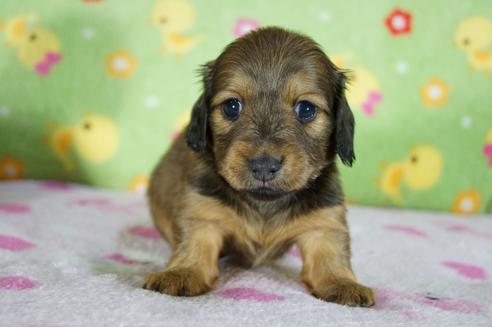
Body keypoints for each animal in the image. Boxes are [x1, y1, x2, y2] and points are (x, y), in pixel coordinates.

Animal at [144, 26, 374, 306]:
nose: (264, 166)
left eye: (306, 109)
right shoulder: (202, 211)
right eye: (232, 106)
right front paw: (181, 272)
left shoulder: (324, 221)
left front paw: (343, 283)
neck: (264, 204)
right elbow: (194, 244)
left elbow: (332, 255)